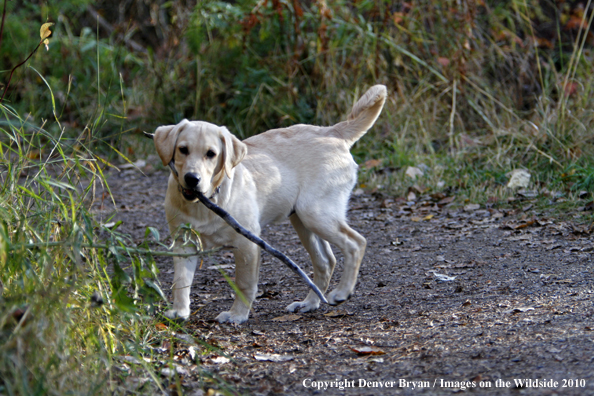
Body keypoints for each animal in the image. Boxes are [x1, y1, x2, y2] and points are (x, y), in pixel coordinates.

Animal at [154, 85, 384, 324]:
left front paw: (237, 315)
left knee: (356, 243)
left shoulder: (246, 242)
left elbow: (244, 283)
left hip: (316, 214)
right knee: (325, 262)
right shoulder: (184, 242)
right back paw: (309, 303)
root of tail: (332, 132)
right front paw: (179, 311)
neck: (206, 201)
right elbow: (180, 281)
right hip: (302, 220)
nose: (192, 178)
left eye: (211, 154)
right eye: (183, 149)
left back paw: (342, 292)